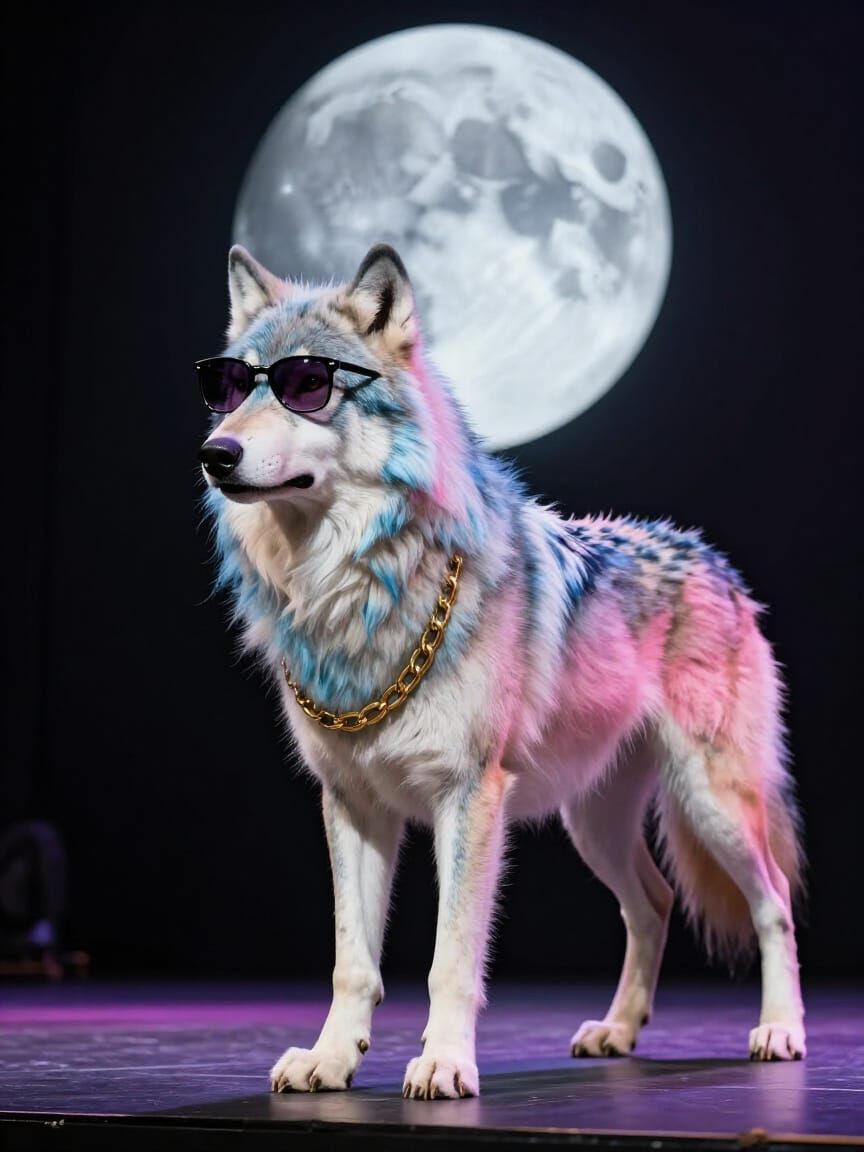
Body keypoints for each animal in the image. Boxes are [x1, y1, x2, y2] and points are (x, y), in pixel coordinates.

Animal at [198, 242, 806, 1099]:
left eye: (305, 385)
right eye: (227, 387)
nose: (215, 454)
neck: (354, 590)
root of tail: (714, 561)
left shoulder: (468, 798)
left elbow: (450, 958)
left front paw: (445, 1063)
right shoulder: (351, 803)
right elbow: (353, 963)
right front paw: (329, 1058)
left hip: (710, 802)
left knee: (774, 903)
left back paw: (782, 1030)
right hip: (593, 824)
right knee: (652, 904)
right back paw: (617, 1031)